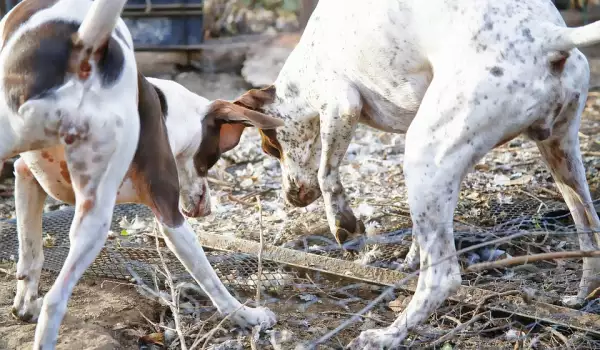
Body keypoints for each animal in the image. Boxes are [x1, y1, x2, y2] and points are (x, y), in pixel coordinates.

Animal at [1, 0, 282, 348]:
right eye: (213, 159)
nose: (206, 208)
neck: (167, 110)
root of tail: (86, 47)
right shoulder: (170, 215)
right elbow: (210, 278)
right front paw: (246, 315)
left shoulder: (26, 176)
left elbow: (30, 257)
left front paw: (24, 306)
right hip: (100, 218)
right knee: (57, 301)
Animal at [205, 0, 600, 348]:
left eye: (271, 149)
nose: (289, 197)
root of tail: (547, 36)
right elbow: (415, 229)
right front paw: (408, 255)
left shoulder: (341, 104)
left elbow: (327, 174)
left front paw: (344, 224)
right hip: (558, 153)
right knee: (590, 230)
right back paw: (581, 298)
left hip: (424, 152)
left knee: (442, 278)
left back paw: (387, 335)